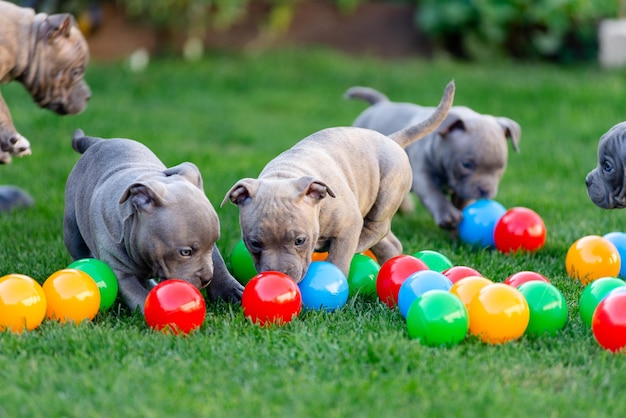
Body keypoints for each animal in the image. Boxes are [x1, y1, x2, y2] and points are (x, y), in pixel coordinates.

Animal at [64, 130, 244, 310]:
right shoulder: (123, 275)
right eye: (185, 252)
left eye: (213, 244)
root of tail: (97, 142)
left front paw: (230, 290)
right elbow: (140, 298)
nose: (206, 278)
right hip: (72, 232)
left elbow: (218, 263)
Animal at [223, 81, 454, 282]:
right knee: (390, 243)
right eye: (254, 243)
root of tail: (391, 139)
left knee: (377, 226)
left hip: (387, 193)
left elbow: (338, 260)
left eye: (300, 241)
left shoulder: (348, 227)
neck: (285, 174)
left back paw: (362, 242)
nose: (280, 275)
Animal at [344, 85, 520, 229]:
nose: (485, 191)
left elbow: (462, 201)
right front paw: (447, 214)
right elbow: (433, 193)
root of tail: (381, 103)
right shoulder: (422, 176)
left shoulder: (462, 188)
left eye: (500, 167)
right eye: (466, 164)